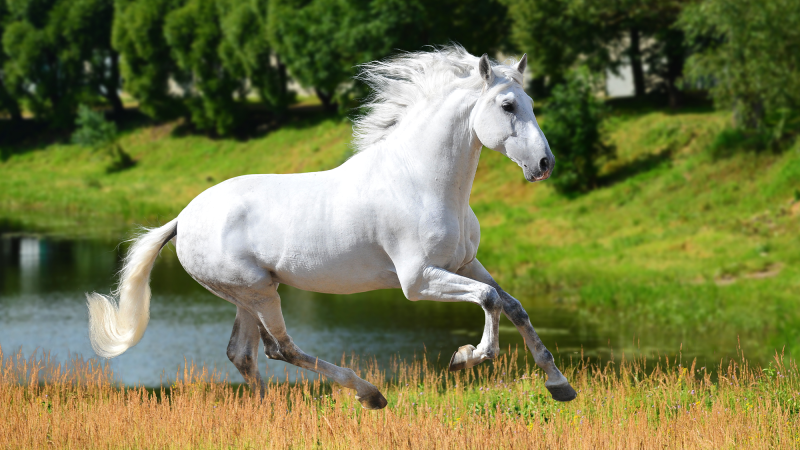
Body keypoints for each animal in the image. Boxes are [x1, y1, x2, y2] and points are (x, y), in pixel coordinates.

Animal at [87, 45, 576, 408]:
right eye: (508, 105)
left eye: (531, 104)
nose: (544, 164)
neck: (421, 181)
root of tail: (183, 219)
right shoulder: (417, 281)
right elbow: (490, 301)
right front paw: (466, 357)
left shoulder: (465, 263)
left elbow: (513, 305)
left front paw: (559, 385)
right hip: (258, 291)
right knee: (279, 348)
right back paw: (369, 394)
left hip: (247, 294)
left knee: (244, 353)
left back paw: (271, 413)